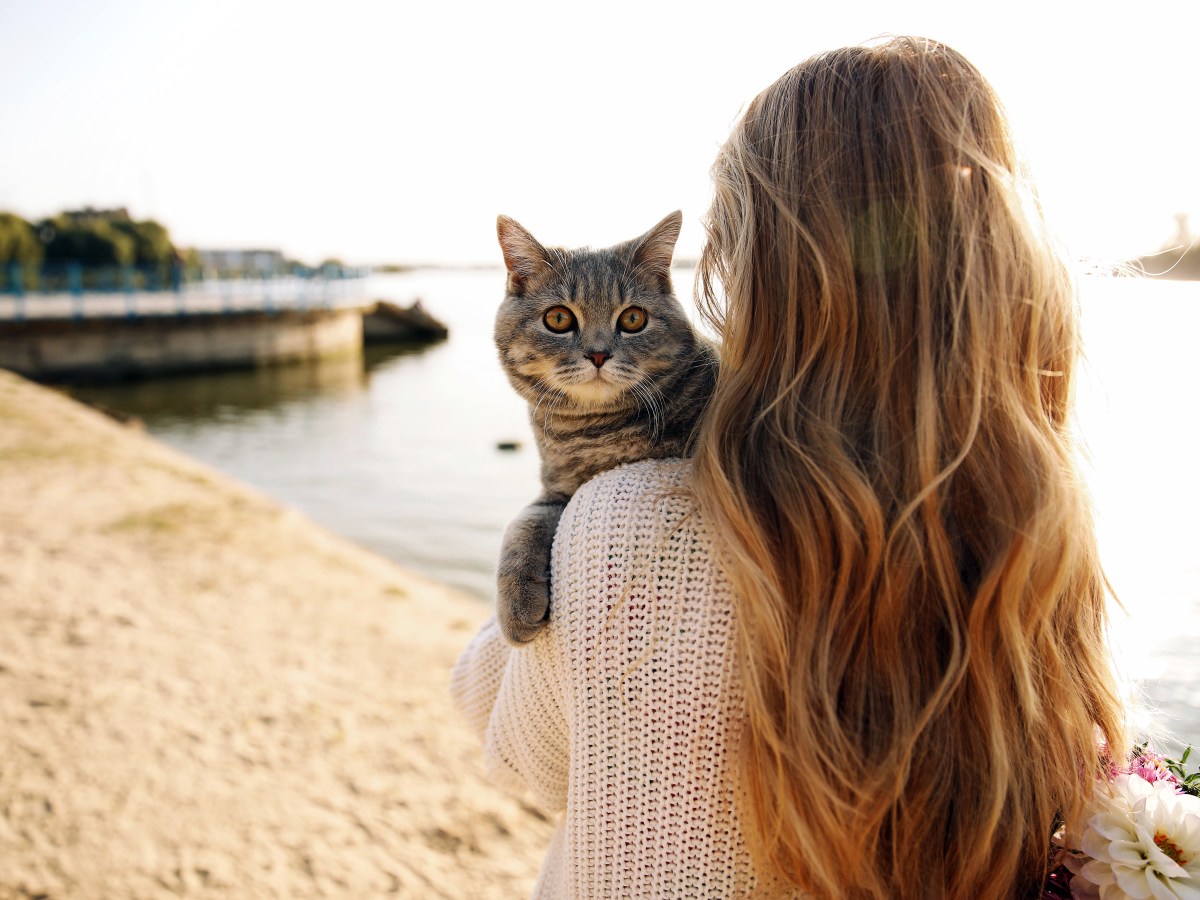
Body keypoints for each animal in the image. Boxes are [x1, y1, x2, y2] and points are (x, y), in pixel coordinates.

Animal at [494, 211, 715, 643]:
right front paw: (515, 605)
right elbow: (523, 522)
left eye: (633, 318)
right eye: (558, 318)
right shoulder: (556, 490)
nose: (598, 354)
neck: (595, 432)